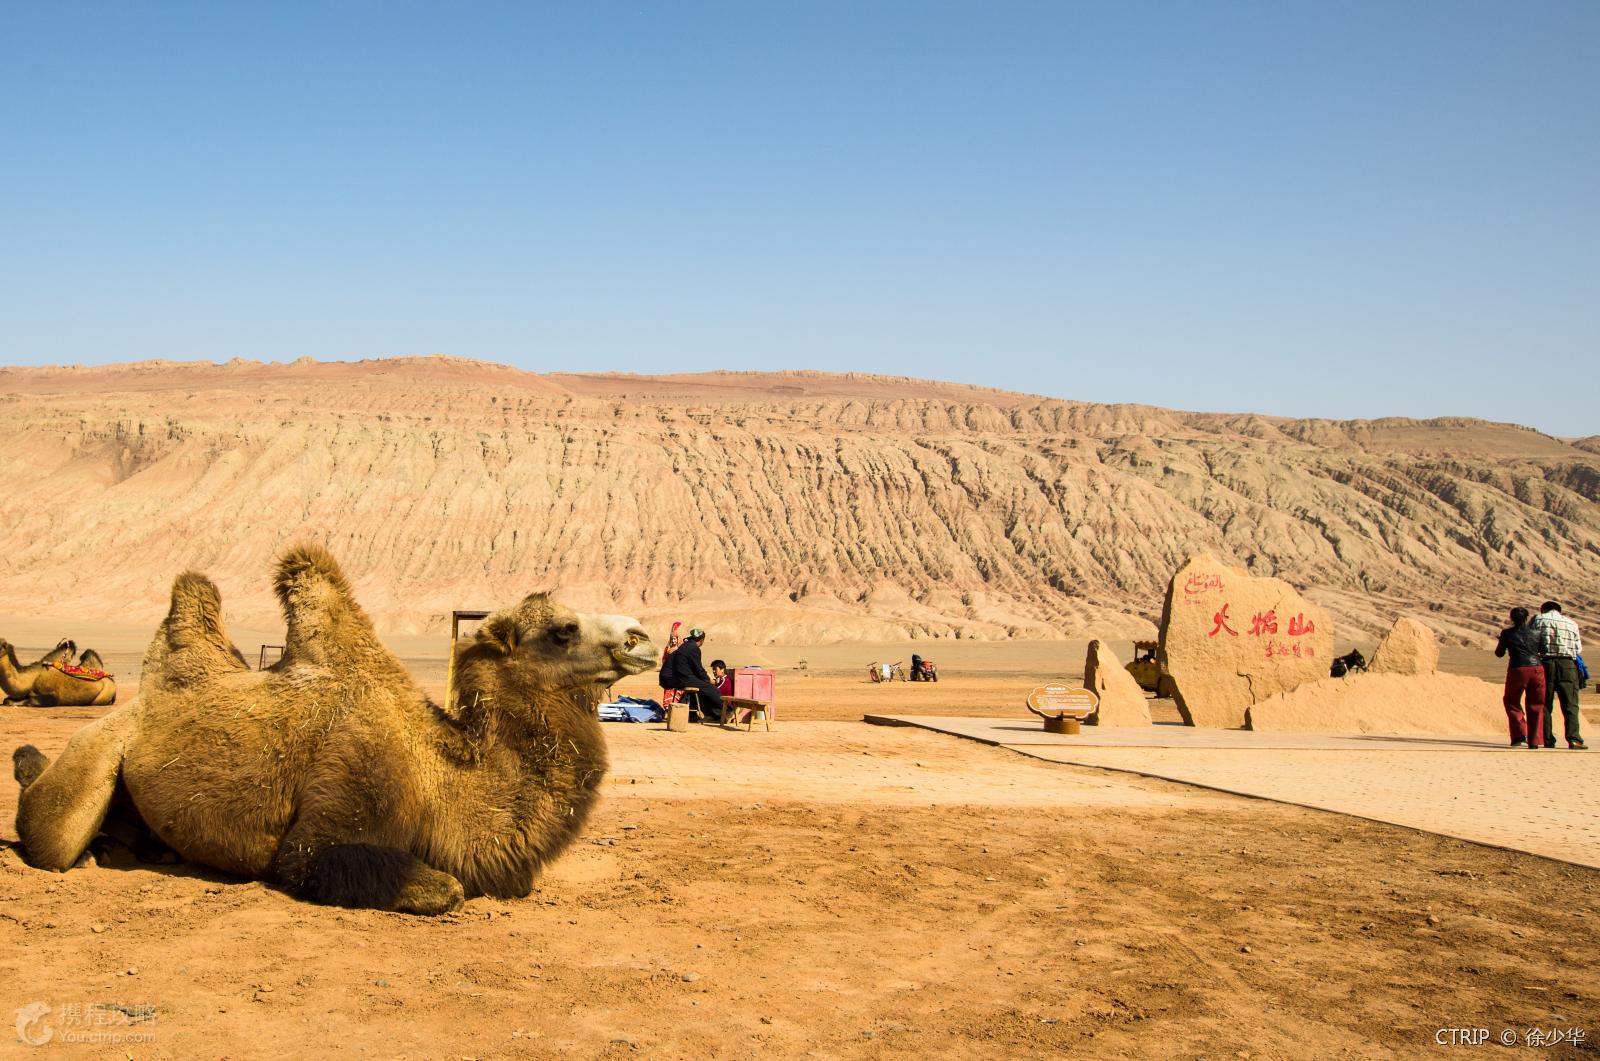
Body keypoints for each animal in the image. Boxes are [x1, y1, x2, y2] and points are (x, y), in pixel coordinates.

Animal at [15, 544, 652, 915]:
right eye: (563, 630)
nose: (641, 636)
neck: (439, 774)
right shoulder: (334, 811)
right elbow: (439, 887)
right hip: (92, 755)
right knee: (50, 834)